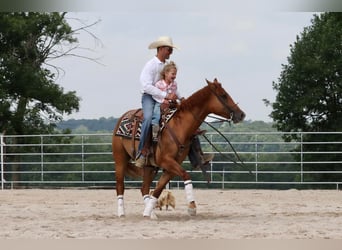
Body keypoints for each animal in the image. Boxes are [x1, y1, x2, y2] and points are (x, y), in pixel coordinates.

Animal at [113, 79, 246, 218]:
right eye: (223, 95)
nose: (241, 114)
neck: (180, 126)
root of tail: (122, 117)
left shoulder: (171, 165)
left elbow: (158, 189)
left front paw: (148, 211)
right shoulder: (166, 161)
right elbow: (185, 175)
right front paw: (192, 207)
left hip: (149, 166)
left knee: (144, 188)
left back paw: (151, 214)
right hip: (120, 159)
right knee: (120, 186)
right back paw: (121, 213)